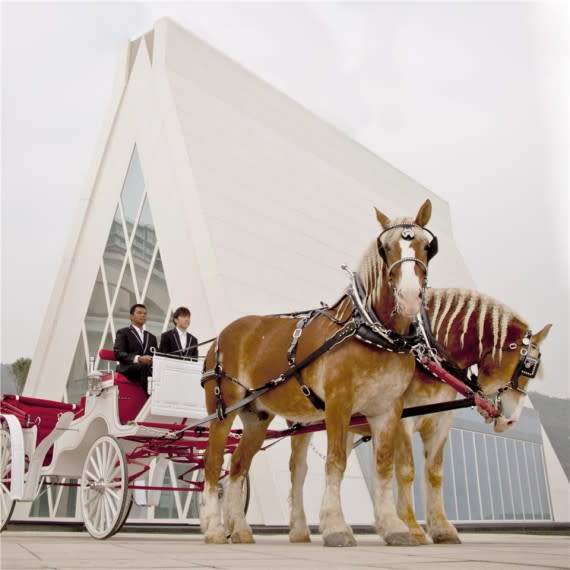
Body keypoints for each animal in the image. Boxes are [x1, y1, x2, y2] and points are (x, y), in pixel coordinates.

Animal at [202, 200, 438, 544]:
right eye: (385, 248)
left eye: (427, 246)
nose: (409, 297)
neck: (372, 332)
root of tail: (222, 334)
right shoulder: (339, 404)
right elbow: (336, 461)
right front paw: (336, 527)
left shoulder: (388, 409)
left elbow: (383, 465)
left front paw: (393, 527)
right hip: (223, 409)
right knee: (213, 462)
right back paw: (214, 528)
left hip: (256, 417)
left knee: (237, 466)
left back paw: (241, 529)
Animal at [288, 288, 552, 540]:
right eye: (527, 367)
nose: (510, 420)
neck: (423, 354)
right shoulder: (402, 419)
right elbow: (406, 471)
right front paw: (411, 527)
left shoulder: (440, 421)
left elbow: (434, 474)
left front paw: (441, 528)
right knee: (298, 468)